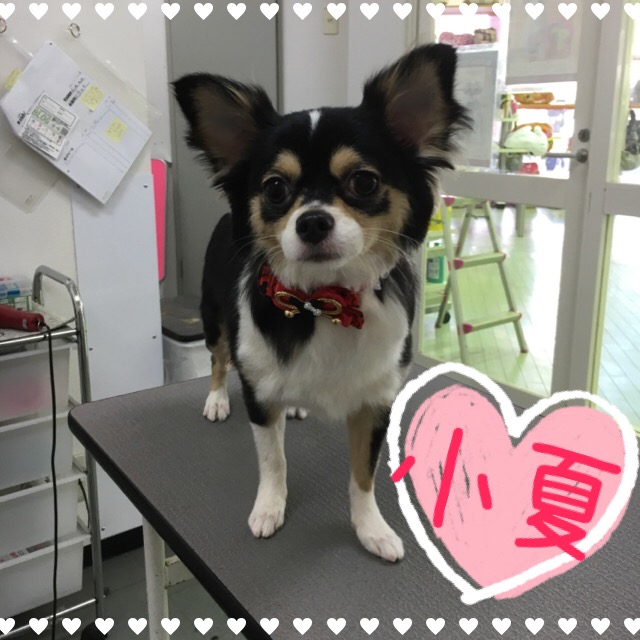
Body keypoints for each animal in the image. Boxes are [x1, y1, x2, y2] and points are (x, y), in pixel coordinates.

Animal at [173, 44, 469, 562]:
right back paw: (216, 399)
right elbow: (273, 460)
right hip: (215, 320)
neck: (325, 300)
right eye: (274, 188)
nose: (312, 221)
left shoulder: (375, 402)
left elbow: (362, 476)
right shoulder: (260, 394)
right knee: (217, 358)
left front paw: (372, 529)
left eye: (364, 182)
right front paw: (269, 508)